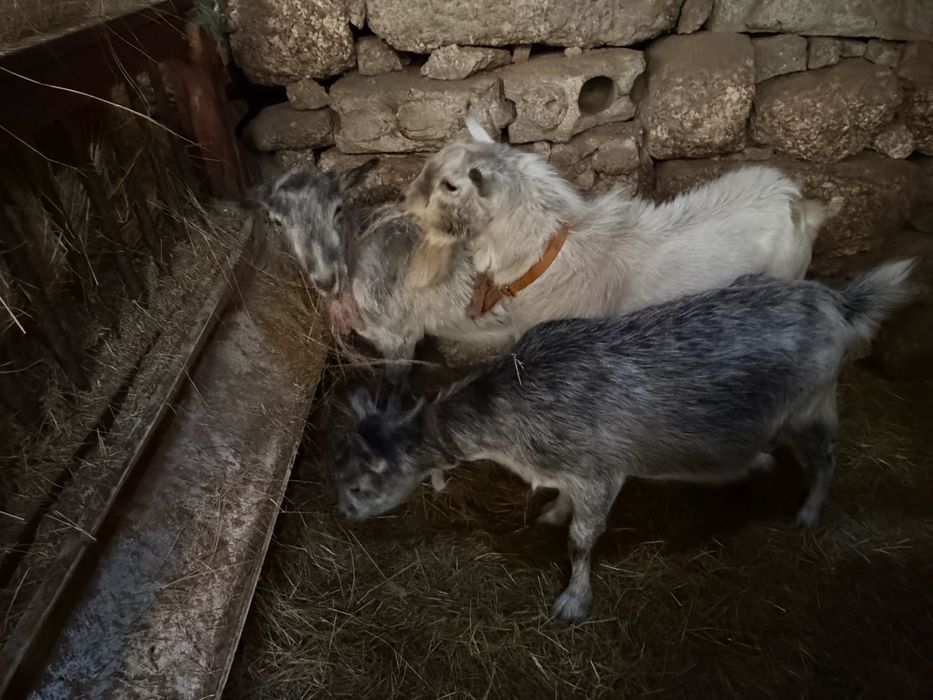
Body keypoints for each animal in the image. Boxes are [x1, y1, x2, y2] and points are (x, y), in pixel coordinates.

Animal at [335, 260, 913, 622]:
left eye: (360, 485)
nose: (347, 514)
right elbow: (563, 505)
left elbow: (582, 540)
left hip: (809, 405)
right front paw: (553, 511)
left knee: (826, 455)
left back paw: (810, 512)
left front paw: (573, 600)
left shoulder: (600, 472)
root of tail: (837, 300)